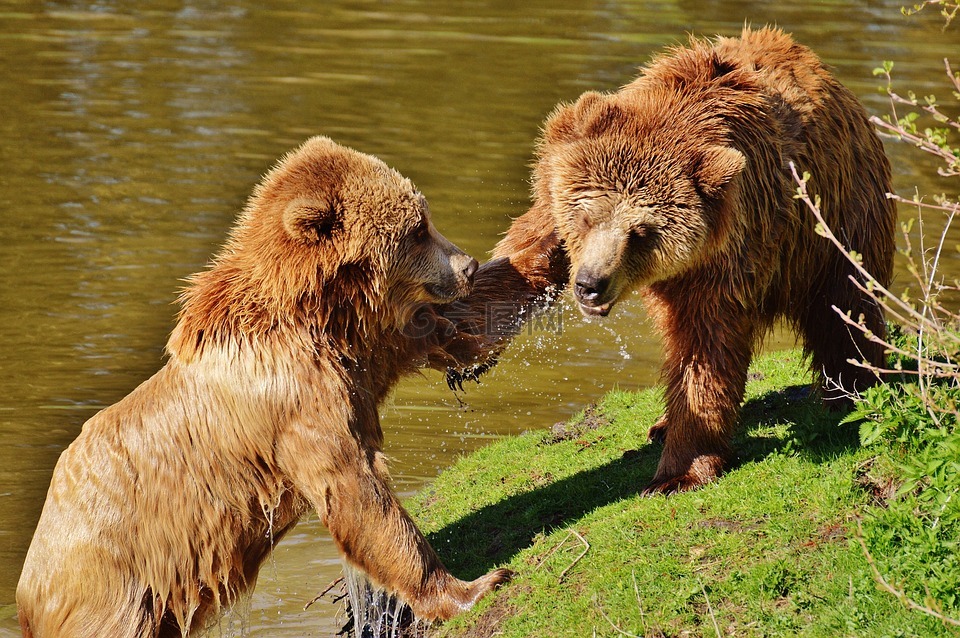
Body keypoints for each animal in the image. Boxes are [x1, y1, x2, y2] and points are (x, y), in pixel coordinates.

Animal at [16, 136, 511, 638]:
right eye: (417, 229)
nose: (468, 265)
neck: (312, 313)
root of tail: (26, 591)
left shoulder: (352, 355)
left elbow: (411, 339)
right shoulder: (297, 401)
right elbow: (356, 493)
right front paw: (475, 587)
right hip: (113, 585)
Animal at [441, 27, 896, 494]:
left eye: (642, 233)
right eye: (586, 215)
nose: (590, 284)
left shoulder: (724, 257)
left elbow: (704, 350)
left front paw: (678, 472)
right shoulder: (558, 202)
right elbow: (523, 262)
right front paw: (464, 349)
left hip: (838, 223)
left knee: (845, 310)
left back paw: (853, 390)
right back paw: (661, 423)